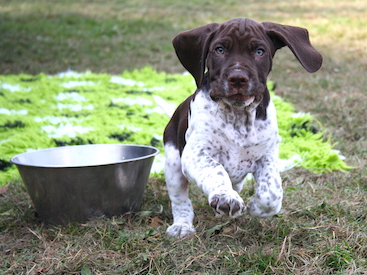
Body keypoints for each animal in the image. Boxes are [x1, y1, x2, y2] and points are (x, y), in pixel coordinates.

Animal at [164, 17, 322, 238]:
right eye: (219, 50)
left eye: (259, 51)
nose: (238, 78)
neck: (238, 116)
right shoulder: (196, 153)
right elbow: (215, 170)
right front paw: (225, 197)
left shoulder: (267, 156)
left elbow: (271, 191)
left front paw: (257, 207)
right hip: (173, 163)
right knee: (180, 200)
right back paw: (182, 225)